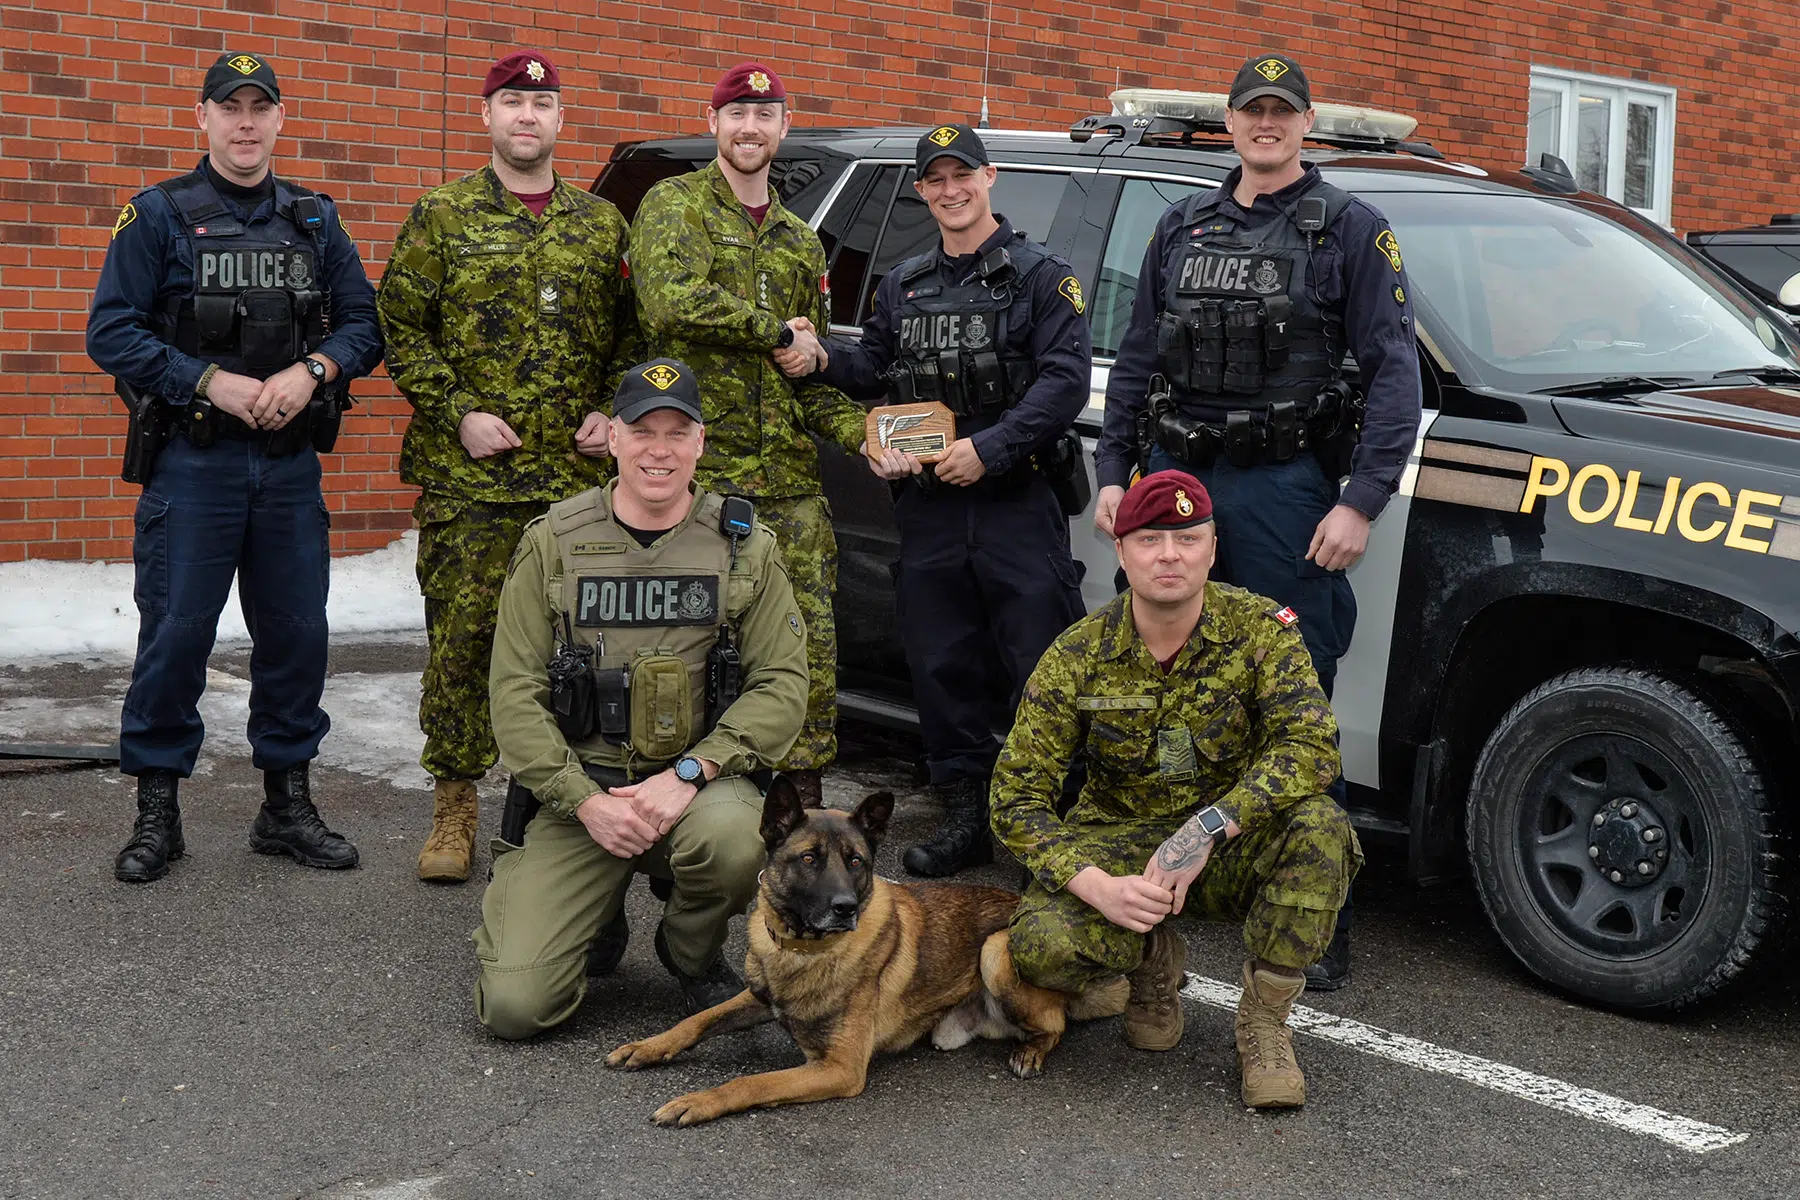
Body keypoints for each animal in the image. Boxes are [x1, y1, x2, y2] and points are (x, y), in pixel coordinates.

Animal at [604, 780, 1123, 1129]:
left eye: (855, 861)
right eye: (809, 859)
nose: (845, 908)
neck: (804, 950)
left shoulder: (838, 1069)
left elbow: (753, 1082)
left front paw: (697, 1101)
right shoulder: (759, 997)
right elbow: (698, 1020)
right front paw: (648, 1046)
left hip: (996, 950)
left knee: (1056, 1025)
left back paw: (1030, 1052)